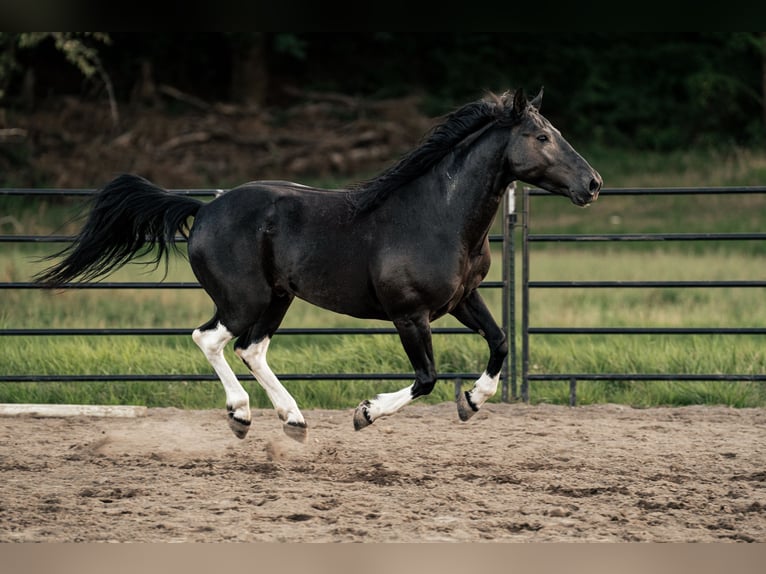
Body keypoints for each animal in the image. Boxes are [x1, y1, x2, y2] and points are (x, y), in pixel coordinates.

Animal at [36, 90, 604, 444]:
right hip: (245, 299)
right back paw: (241, 414)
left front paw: (473, 401)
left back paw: (292, 419)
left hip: (278, 298)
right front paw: (365, 413)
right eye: (542, 138)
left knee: (250, 348)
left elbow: (501, 340)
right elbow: (426, 377)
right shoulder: (409, 314)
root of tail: (204, 209)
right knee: (210, 338)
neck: (437, 215)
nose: (594, 184)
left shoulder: (462, 298)